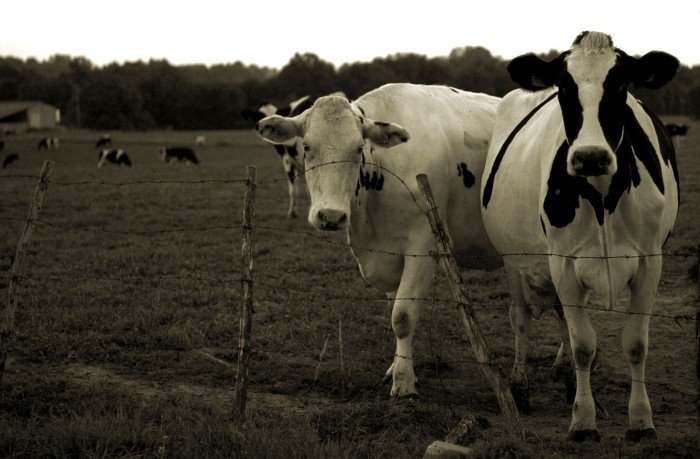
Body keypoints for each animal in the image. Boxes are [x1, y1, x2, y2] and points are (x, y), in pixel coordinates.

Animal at [255, 83, 501, 397]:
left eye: (359, 148)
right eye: (307, 147)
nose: (331, 215)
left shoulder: (425, 246)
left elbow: (403, 317)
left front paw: (404, 382)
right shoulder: (385, 254)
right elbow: (393, 311)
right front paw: (398, 368)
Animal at [481, 31, 679, 441]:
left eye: (620, 84)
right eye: (564, 87)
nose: (590, 157)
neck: (602, 196)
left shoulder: (650, 261)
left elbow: (635, 344)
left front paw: (641, 420)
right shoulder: (563, 261)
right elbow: (583, 344)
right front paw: (583, 421)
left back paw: (567, 379)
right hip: (513, 260)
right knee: (521, 318)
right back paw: (520, 388)